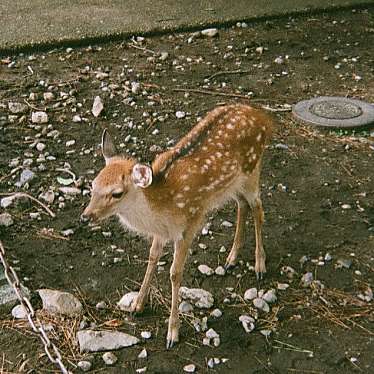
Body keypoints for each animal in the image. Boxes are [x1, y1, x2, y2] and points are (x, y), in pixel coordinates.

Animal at [82, 103, 272, 348]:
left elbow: (175, 273)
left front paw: (172, 333)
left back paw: (259, 265)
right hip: (232, 184)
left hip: (252, 170)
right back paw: (231, 258)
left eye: (117, 193)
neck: (162, 206)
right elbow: (152, 256)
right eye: (93, 185)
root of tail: (263, 118)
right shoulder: (162, 232)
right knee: (243, 205)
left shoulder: (190, 223)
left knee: (258, 208)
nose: (86, 216)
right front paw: (137, 305)